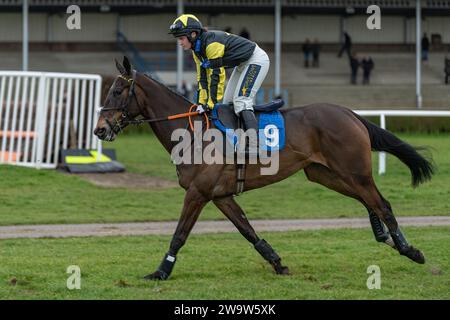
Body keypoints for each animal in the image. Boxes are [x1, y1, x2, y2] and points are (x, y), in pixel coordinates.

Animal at [94, 57, 432, 280]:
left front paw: (160, 271)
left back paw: (409, 249)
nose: (99, 130)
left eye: (117, 92)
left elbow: (179, 234)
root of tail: (350, 113)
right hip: (326, 174)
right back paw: (386, 238)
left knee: (382, 203)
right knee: (369, 201)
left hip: (354, 172)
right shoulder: (220, 195)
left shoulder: (198, 192)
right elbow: (247, 230)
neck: (192, 132)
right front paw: (278, 263)